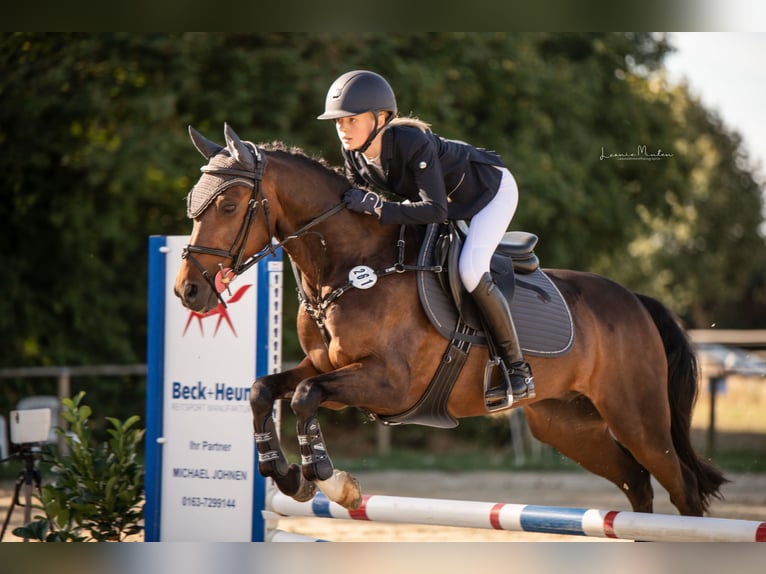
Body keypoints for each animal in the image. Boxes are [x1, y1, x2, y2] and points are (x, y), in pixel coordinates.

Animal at [174, 123, 727, 516]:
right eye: (192, 203)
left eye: (228, 204)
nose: (188, 290)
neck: (350, 269)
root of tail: (634, 300)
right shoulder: (325, 365)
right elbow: (264, 390)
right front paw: (287, 476)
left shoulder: (390, 384)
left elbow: (305, 397)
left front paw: (331, 480)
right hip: (568, 425)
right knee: (637, 484)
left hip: (637, 417)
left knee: (680, 487)